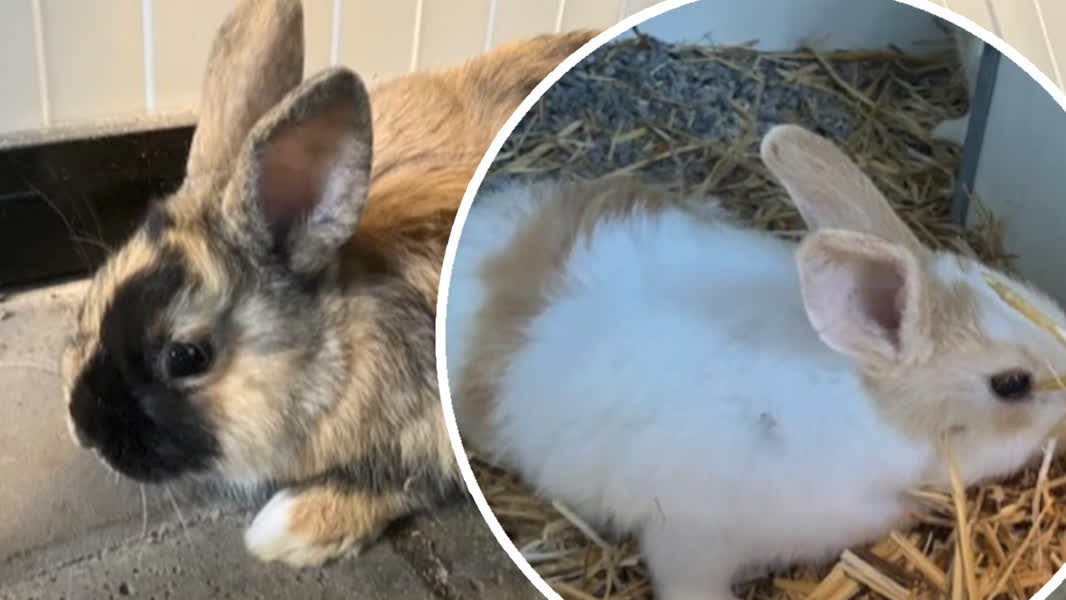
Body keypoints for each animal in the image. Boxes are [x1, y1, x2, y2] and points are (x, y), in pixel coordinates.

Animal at [59, 0, 597, 568]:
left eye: (185, 357)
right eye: (95, 292)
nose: (82, 425)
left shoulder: (431, 435)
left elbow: (399, 482)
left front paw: (284, 530)